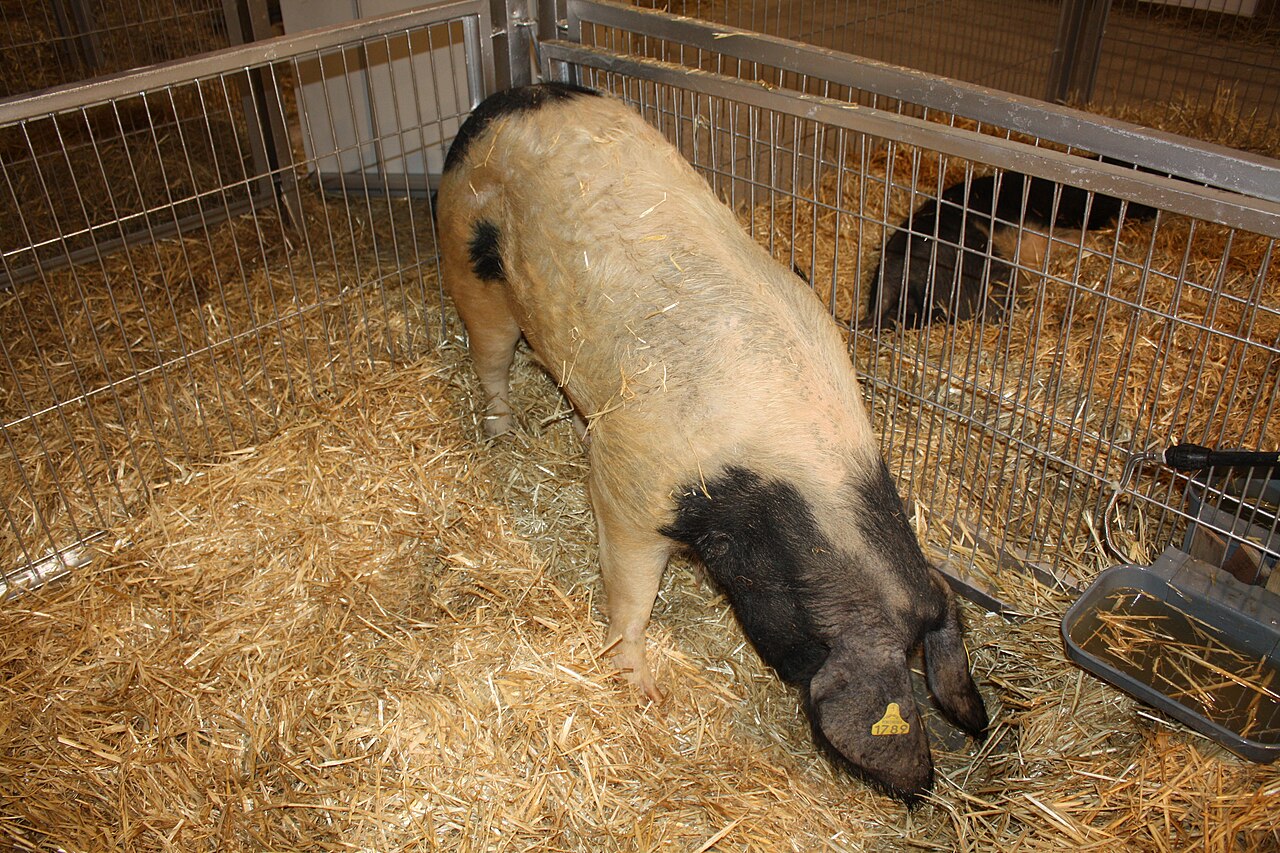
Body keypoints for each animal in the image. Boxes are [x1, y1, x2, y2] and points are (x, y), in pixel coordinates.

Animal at [436, 82, 988, 802]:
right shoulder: (632, 486)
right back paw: (501, 435)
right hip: (470, 262)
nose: (922, 786)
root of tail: (504, 98)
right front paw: (642, 692)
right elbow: (631, 595)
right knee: (491, 358)